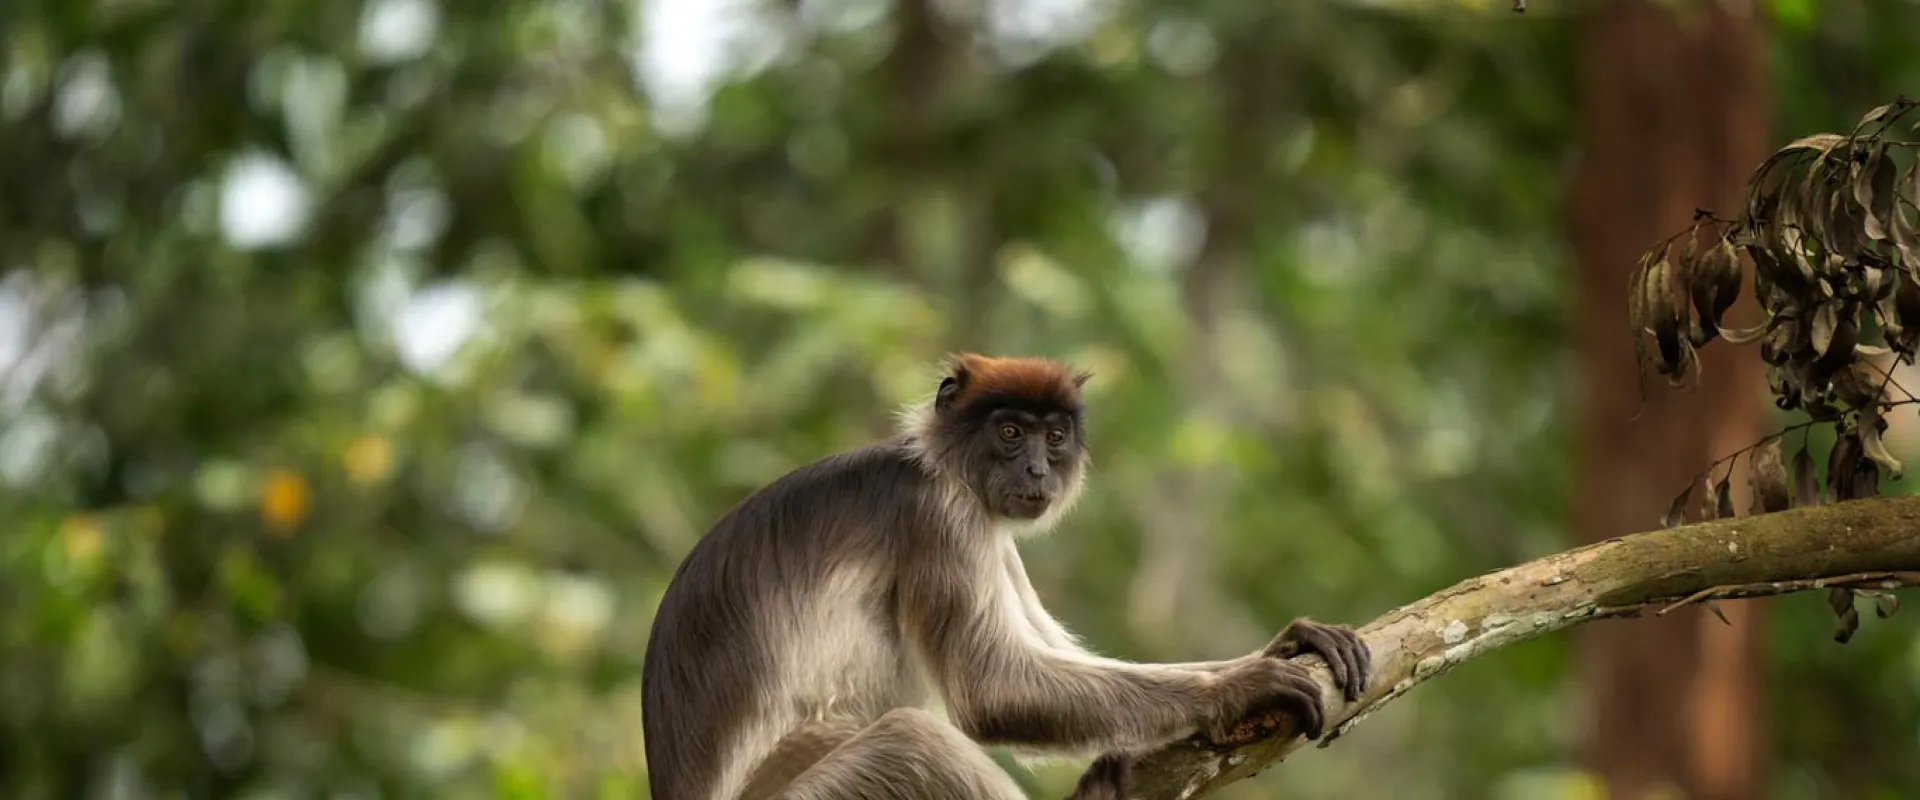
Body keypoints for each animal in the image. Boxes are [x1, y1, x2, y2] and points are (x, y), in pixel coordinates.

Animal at [640, 353, 1371, 800]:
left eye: (1054, 437)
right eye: (1012, 432)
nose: (1037, 471)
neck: (941, 468)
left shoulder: (991, 535)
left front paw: (1283, 645)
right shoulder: (940, 516)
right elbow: (991, 691)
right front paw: (1240, 689)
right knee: (913, 740)